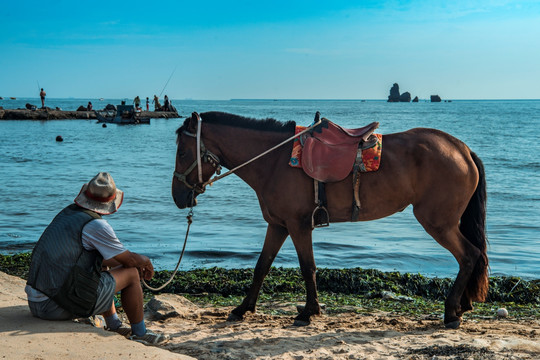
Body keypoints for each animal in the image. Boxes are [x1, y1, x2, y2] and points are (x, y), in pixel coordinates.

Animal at [173, 111, 490, 328]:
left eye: (182, 152)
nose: (178, 197)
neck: (274, 160)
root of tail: (461, 149)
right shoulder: (278, 225)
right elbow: (261, 266)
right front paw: (243, 307)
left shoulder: (299, 225)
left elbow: (308, 268)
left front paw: (308, 311)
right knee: (471, 257)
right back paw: (461, 306)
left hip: (438, 223)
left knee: (469, 255)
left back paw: (451, 310)